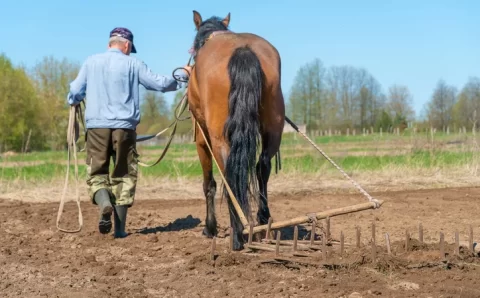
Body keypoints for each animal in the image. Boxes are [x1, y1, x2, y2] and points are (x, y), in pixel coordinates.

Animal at [188, 10, 284, 250]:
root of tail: (243, 50)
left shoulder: (202, 140)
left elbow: (209, 184)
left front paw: (210, 228)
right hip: (273, 129)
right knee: (262, 167)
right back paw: (262, 222)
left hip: (218, 137)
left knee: (228, 175)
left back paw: (238, 235)